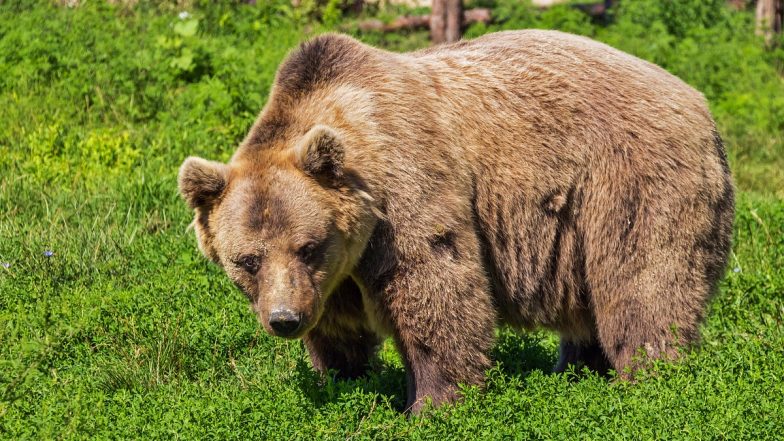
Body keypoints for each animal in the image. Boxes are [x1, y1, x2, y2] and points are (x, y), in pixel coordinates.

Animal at [178, 29, 736, 410]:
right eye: (247, 260)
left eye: (307, 246)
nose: (284, 319)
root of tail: (700, 103)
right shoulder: (334, 274)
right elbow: (339, 328)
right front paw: (343, 378)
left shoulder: (406, 190)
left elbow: (436, 288)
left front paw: (432, 402)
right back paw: (576, 370)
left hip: (631, 181)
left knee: (643, 283)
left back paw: (649, 379)